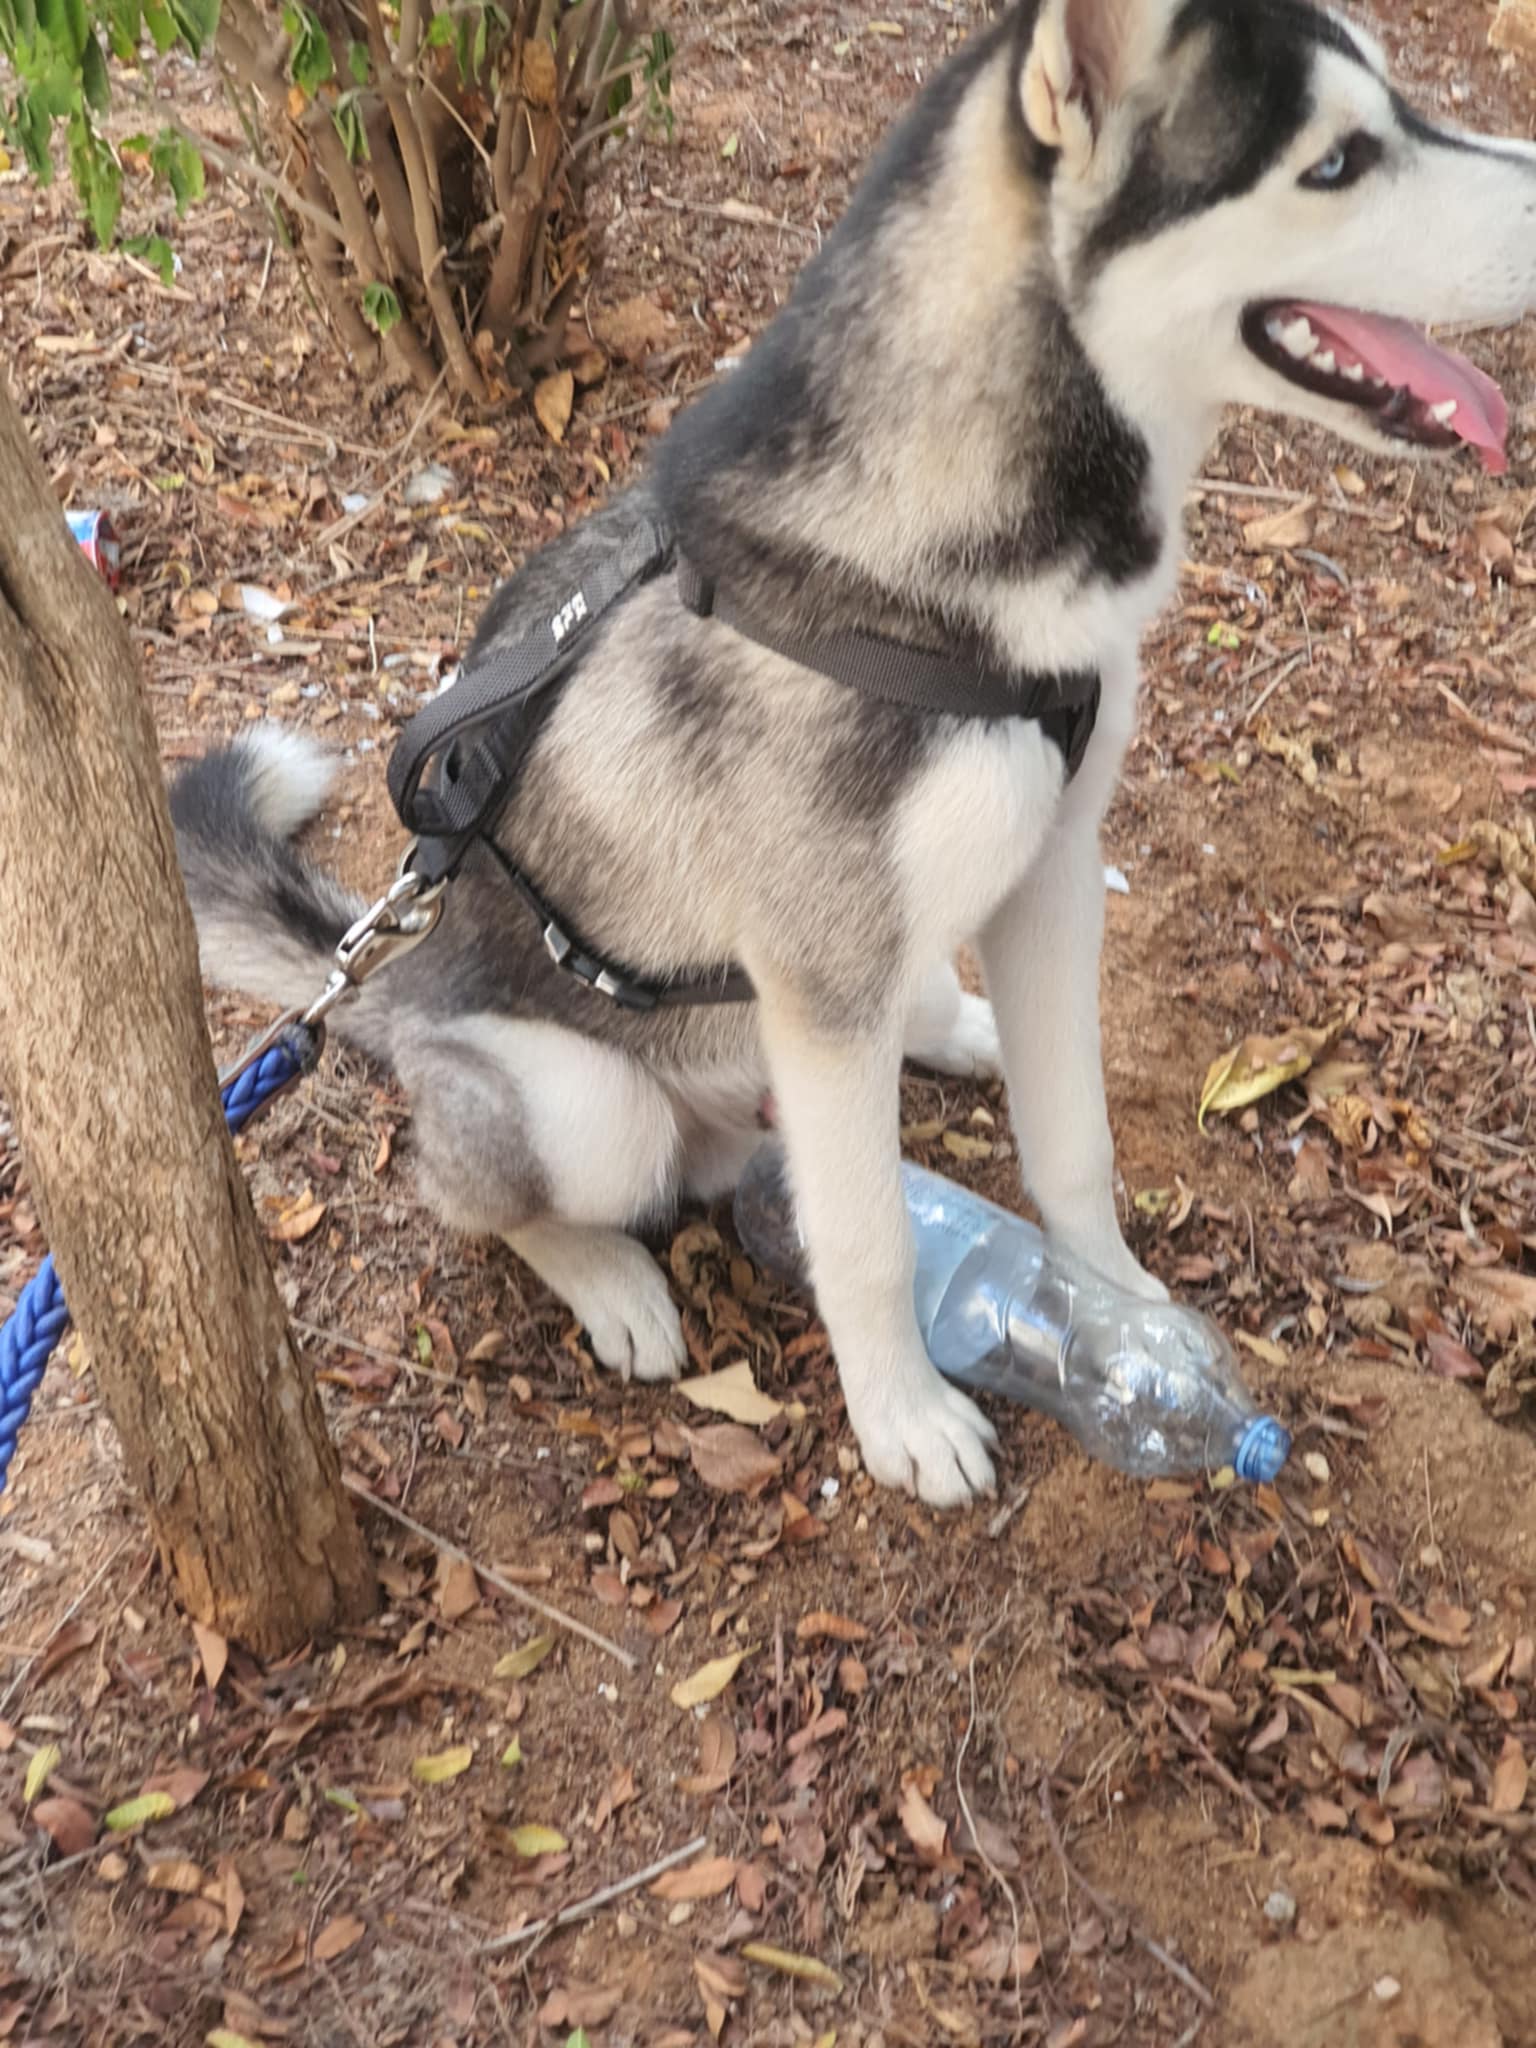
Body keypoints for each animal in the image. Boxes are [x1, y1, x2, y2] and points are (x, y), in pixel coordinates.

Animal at [177, 0, 1536, 1507]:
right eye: (1337, 161)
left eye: (1398, 102)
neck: (947, 558)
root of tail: (390, 981)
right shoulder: (821, 987)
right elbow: (873, 1240)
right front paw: (905, 1413)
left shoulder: (1054, 866)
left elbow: (1075, 1143)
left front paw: (1115, 1304)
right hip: (591, 1103)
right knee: (490, 1193)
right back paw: (609, 1276)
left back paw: (948, 1026)